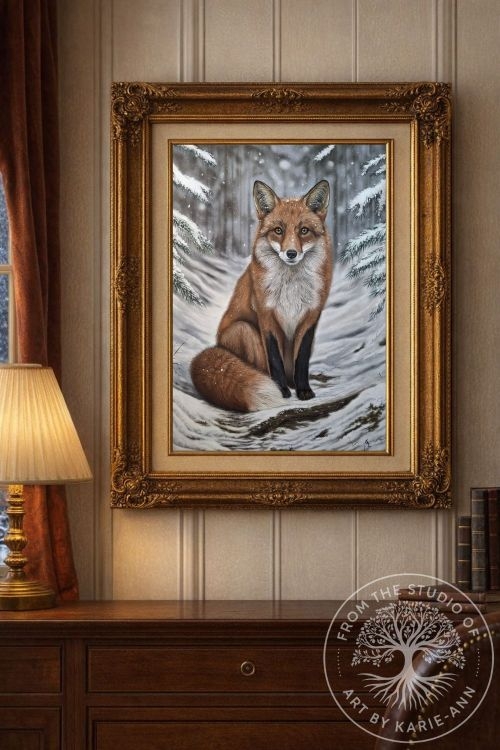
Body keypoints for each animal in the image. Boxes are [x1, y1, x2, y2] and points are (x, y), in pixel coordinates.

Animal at [190, 179, 333, 412]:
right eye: (278, 230)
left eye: (304, 230)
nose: (291, 253)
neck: (291, 287)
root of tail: (217, 345)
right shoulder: (266, 315)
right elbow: (274, 359)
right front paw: (282, 391)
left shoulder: (311, 316)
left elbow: (302, 360)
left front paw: (303, 390)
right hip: (245, 329)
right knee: (260, 368)